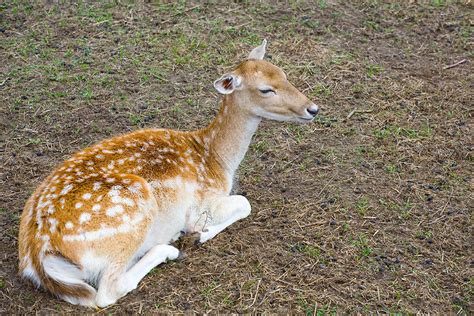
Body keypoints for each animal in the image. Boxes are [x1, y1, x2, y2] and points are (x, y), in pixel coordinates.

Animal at [17, 38, 318, 308]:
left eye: (283, 73)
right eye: (266, 90)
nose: (312, 108)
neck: (217, 159)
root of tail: (38, 255)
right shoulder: (202, 203)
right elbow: (244, 204)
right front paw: (200, 233)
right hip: (132, 209)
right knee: (106, 292)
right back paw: (169, 248)